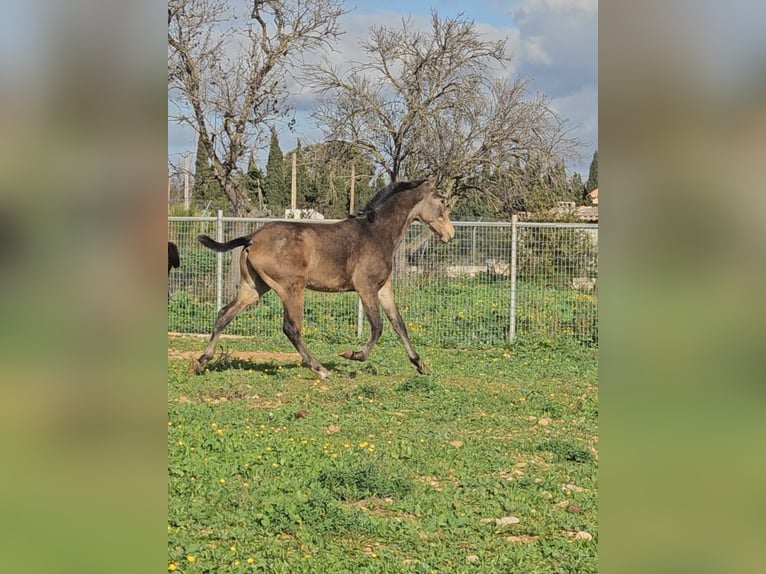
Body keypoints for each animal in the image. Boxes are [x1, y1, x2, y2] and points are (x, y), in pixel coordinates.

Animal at [192, 178, 456, 380]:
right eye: (442, 202)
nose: (450, 235)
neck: (377, 232)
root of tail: (252, 238)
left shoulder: (383, 288)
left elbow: (399, 325)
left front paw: (420, 364)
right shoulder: (366, 287)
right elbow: (378, 326)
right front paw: (353, 354)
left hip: (254, 288)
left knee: (224, 314)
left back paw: (201, 360)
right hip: (291, 288)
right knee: (291, 328)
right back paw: (320, 369)